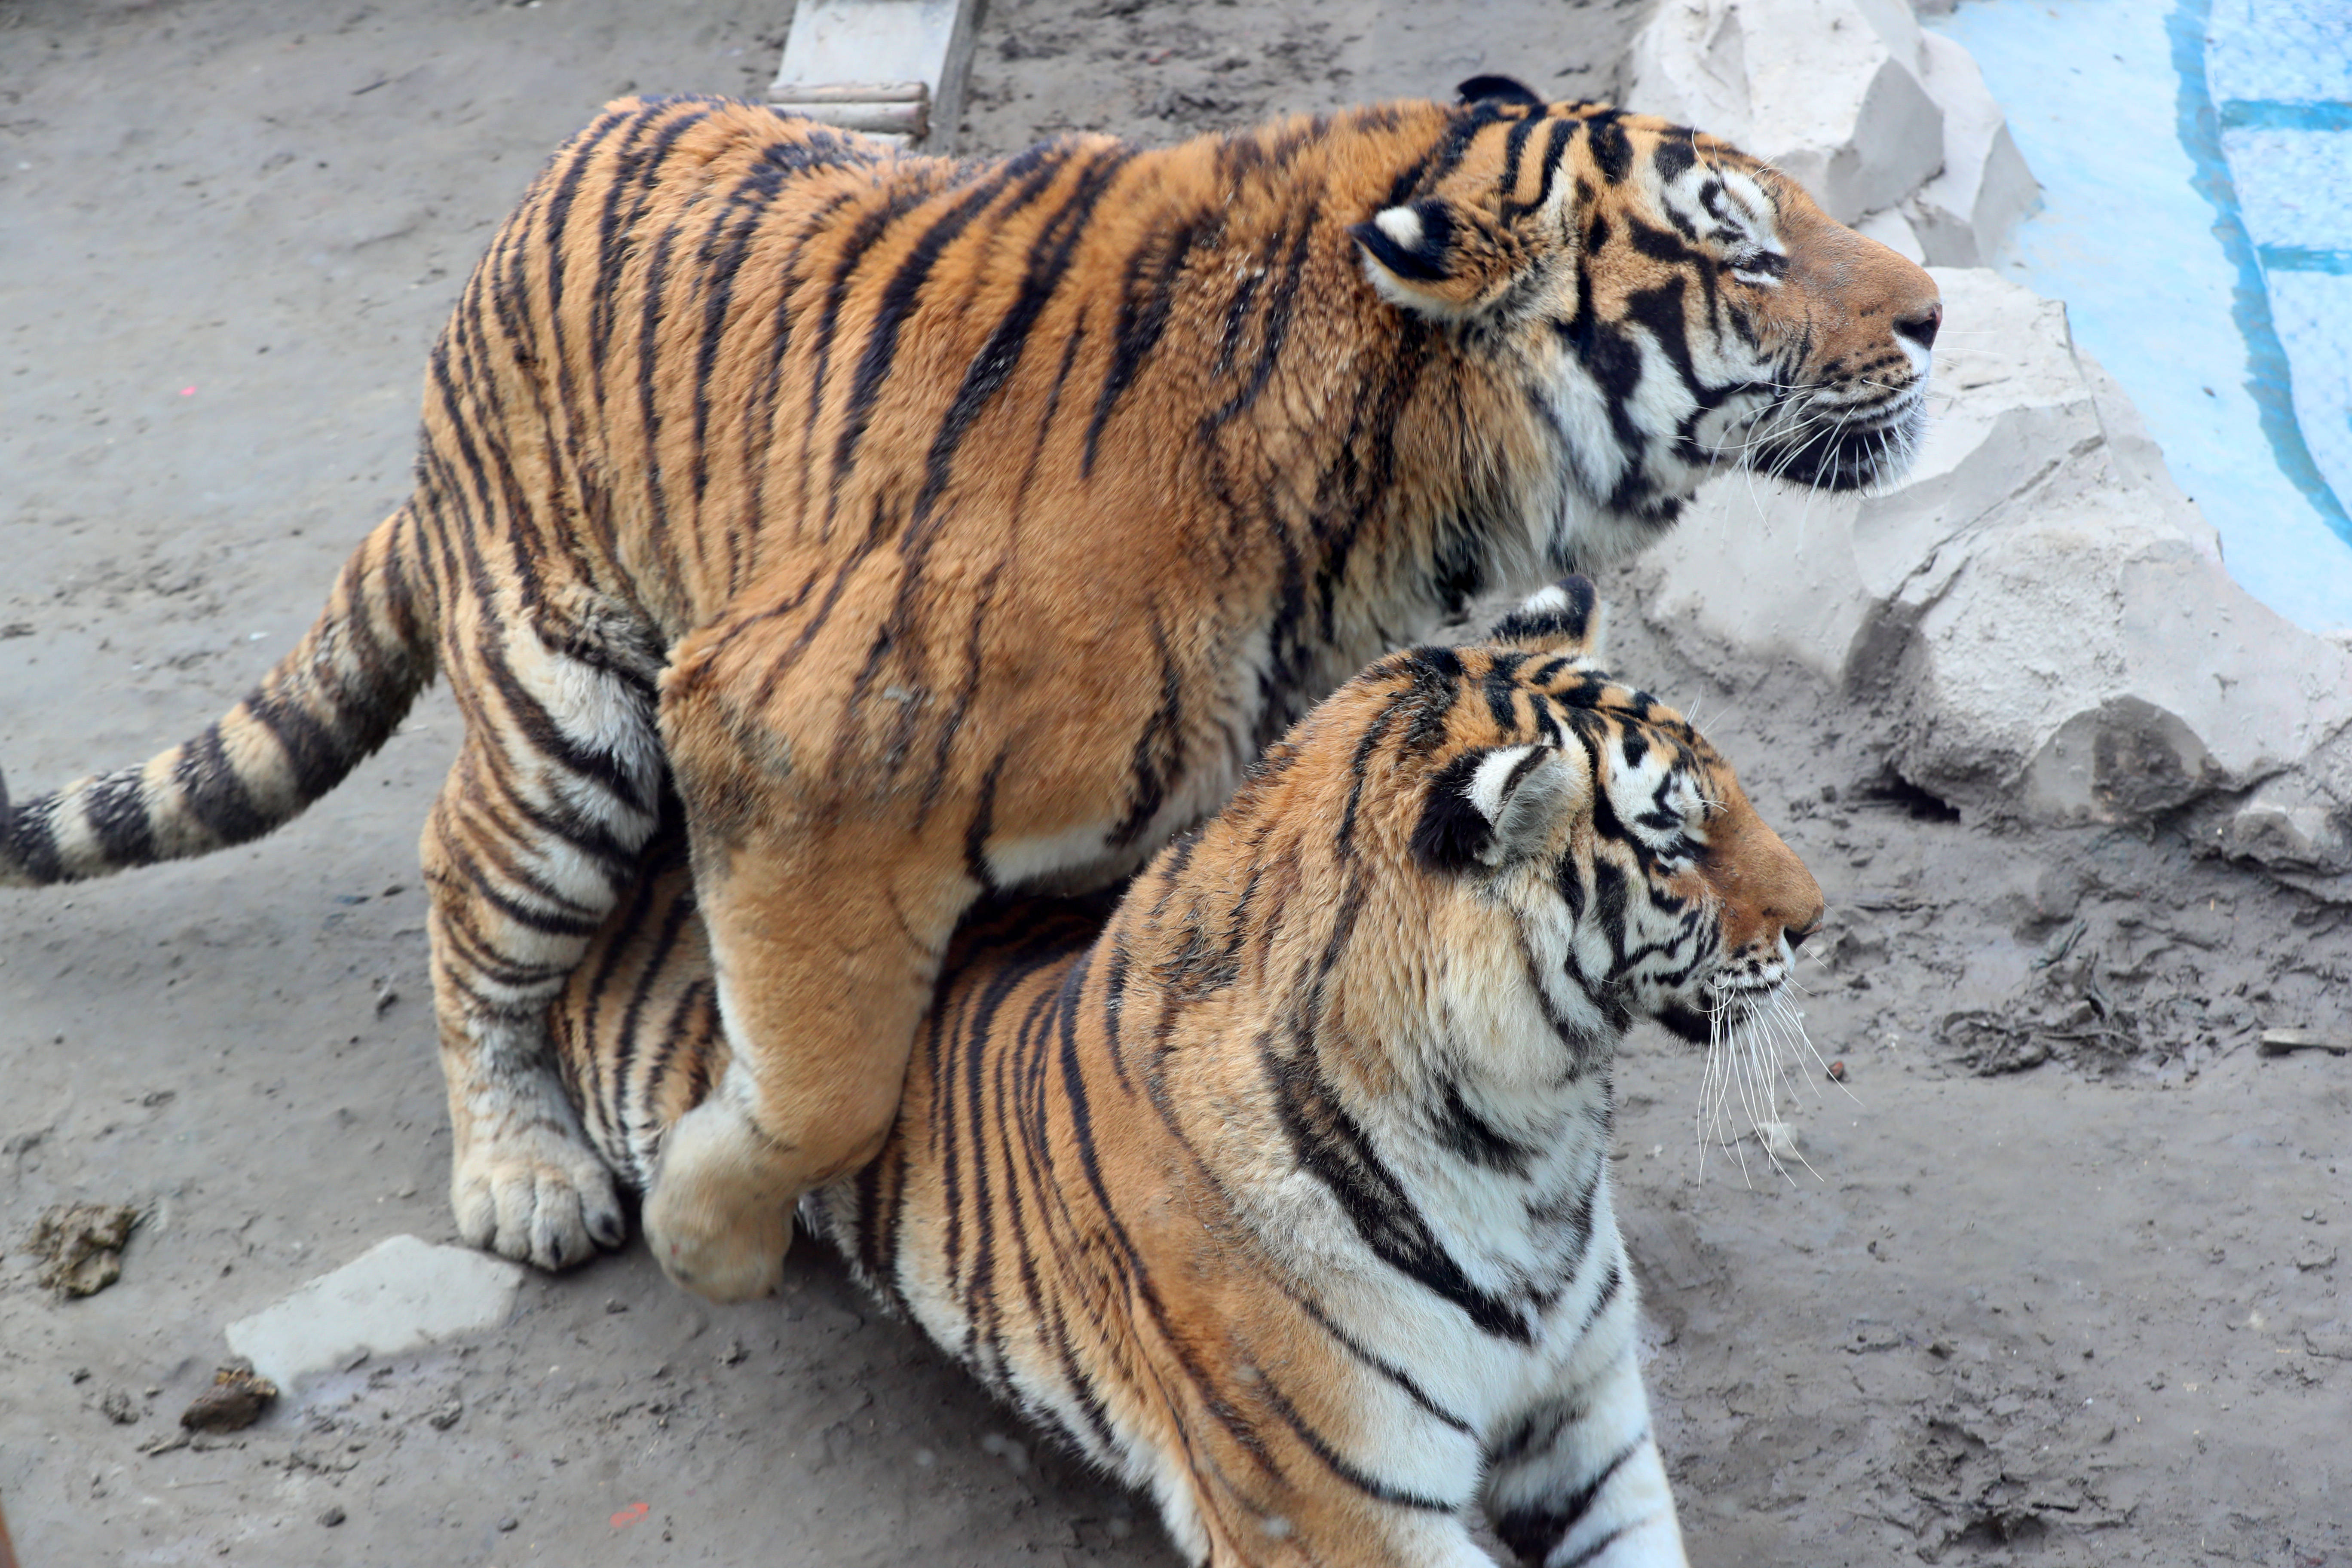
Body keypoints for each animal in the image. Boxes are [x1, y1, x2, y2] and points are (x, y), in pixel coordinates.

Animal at [0, 76, 1938, 1298]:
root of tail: (532, 204)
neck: (1411, 501)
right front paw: (713, 1228)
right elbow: (828, 1079)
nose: (1932, 312)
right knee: (467, 897)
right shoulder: (784, 738)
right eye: (1742, 245)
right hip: (568, 715)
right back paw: (524, 1175)